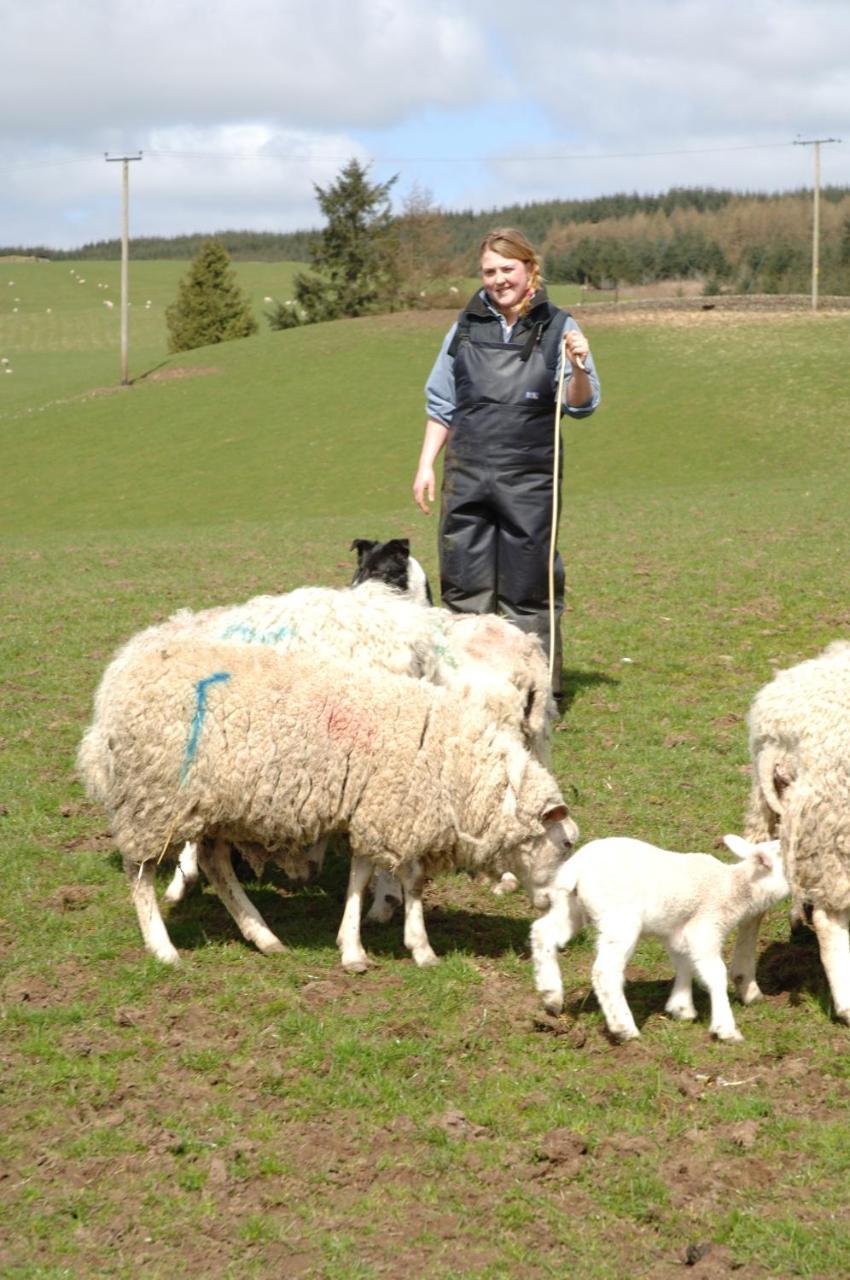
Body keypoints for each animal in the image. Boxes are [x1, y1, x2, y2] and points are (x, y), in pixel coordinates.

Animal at [76, 640, 578, 967]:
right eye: (567, 844)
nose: (552, 904)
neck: (455, 763)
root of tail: (119, 675)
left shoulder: (376, 809)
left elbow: (366, 877)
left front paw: (360, 946)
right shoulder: (396, 810)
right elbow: (407, 880)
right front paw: (414, 948)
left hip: (213, 807)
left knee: (217, 866)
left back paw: (263, 936)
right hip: (152, 797)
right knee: (140, 873)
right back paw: (163, 949)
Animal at [527, 834, 788, 1044]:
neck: (733, 887)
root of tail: (576, 869)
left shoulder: (677, 932)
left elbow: (684, 964)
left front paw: (681, 1008)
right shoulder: (705, 927)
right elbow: (715, 974)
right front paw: (726, 1029)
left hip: (570, 907)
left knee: (543, 932)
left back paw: (551, 995)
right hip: (619, 920)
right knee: (605, 971)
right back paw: (624, 1028)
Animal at [732, 645, 850, 1024]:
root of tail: (778, 738)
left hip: (768, 809)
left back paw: (745, 983)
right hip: (833, 816)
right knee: (830, 920)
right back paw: (845, 1004)